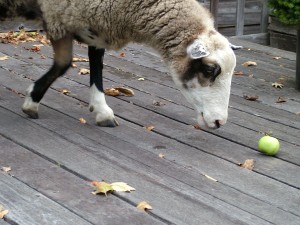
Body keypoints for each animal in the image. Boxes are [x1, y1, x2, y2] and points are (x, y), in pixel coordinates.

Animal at [0, 0, 239, 129]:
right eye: (209, 70)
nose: (219, 122)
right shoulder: (59, 15)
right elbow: (64, 64)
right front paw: (31, 103)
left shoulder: (94, 22)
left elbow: (96, 66)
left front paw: (102, 111)